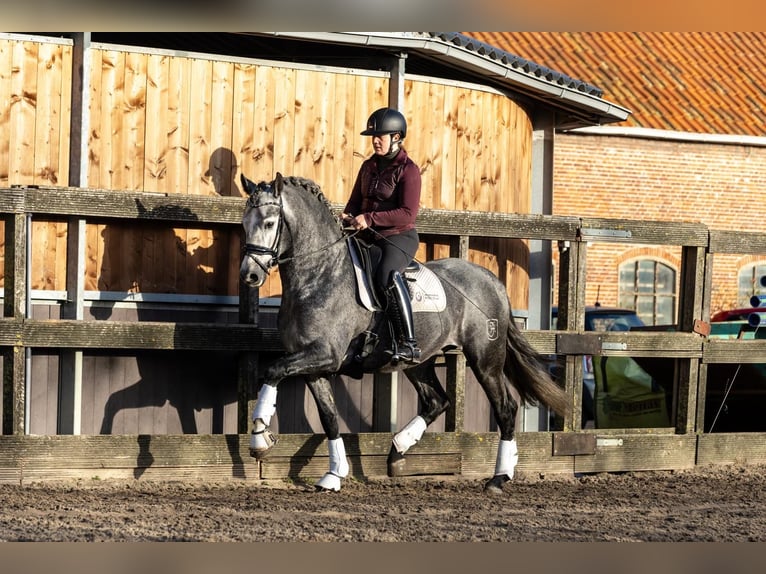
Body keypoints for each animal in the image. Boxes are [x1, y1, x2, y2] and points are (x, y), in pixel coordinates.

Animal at [240, 173, 568, 492]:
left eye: (269, 223)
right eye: (244, 223)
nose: (249, 275)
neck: (320, 275)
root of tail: (493, 281)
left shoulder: (325, 355)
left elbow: (272, 370)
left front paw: (259, 439)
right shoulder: (312, 364)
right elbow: (329, 418)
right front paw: (333, 476)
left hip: (485, 359)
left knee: (504, 408)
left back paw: (499, 478)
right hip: (419, 362)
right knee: (437, 401)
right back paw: (399, 446)